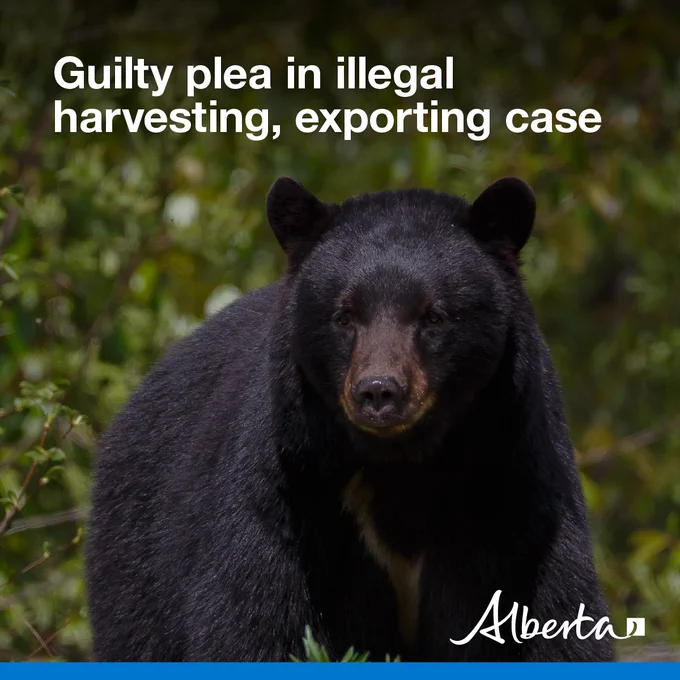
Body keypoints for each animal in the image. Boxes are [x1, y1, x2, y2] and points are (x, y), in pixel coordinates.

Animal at [85, 177, 615, 662]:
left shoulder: (514, 485)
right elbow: (252, 619)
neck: (402, 463)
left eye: (434, 316)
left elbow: (549, 619)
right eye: (344, 315)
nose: (378, 392)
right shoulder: (285, 489)